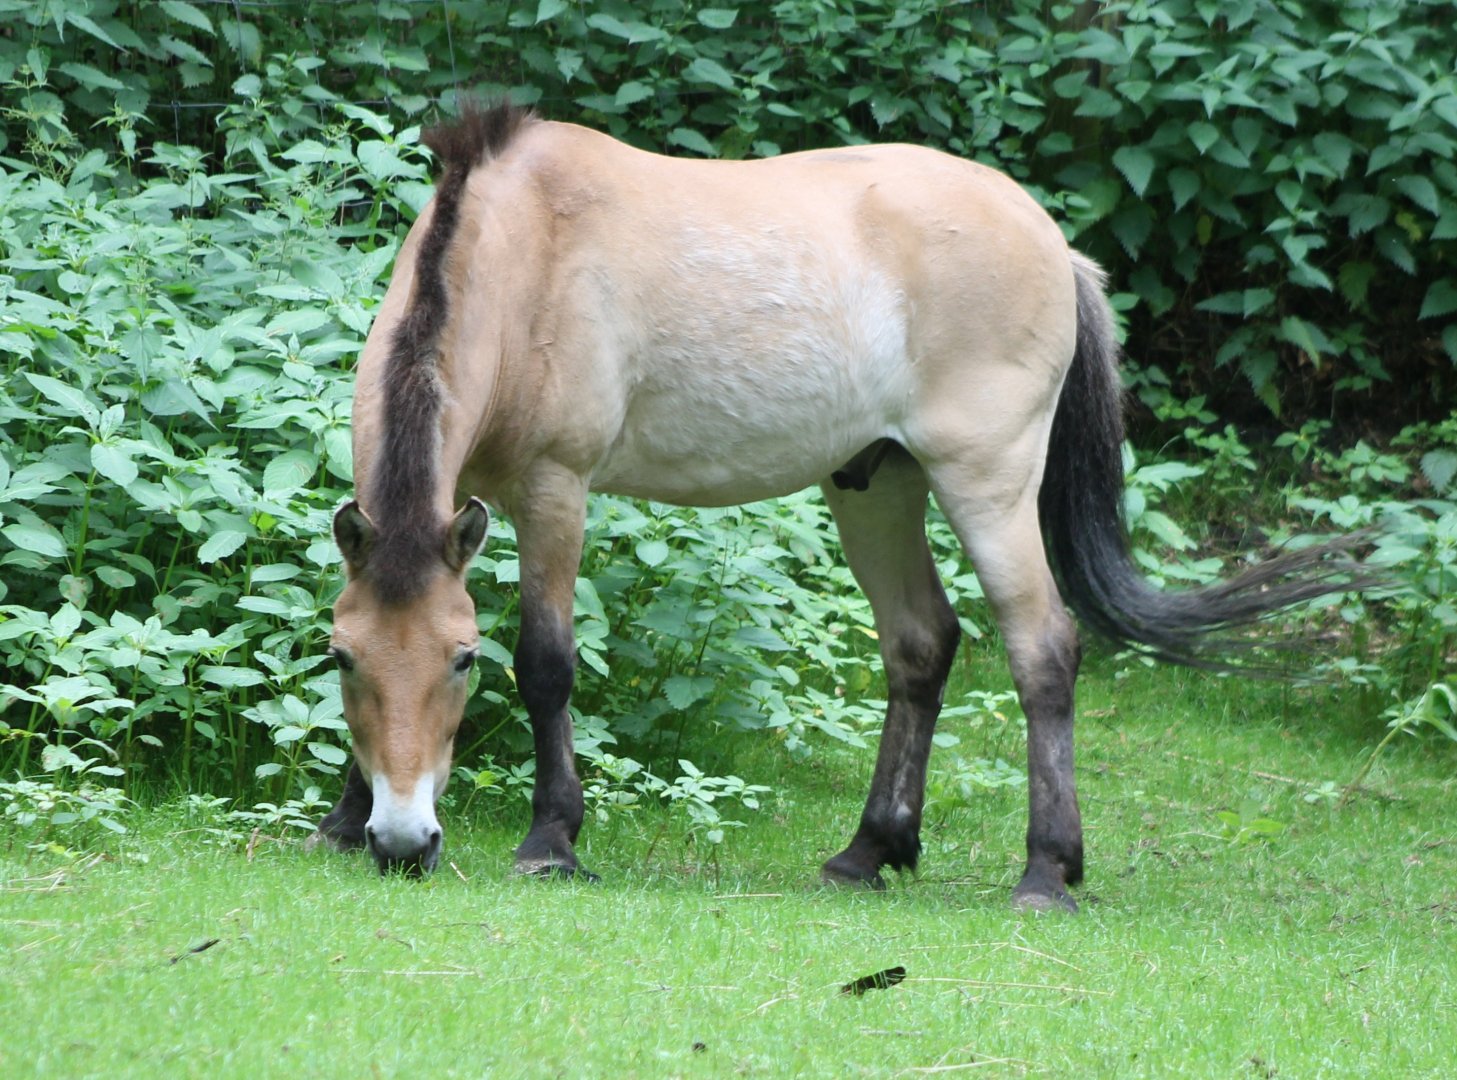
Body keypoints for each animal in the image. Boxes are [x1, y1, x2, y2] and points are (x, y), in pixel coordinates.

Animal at [311, 103, 1362, 910]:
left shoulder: (553, 492)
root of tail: (1050, 240)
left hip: (986, 483)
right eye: (343, 657)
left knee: (1043, 651)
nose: (403, 842)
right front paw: (339, 822)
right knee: (921, 645)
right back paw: (870, 851)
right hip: (877, 483)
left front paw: (550, 843)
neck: (525, 256)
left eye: (462, 660)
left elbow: (546, 665)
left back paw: (1044, 873)